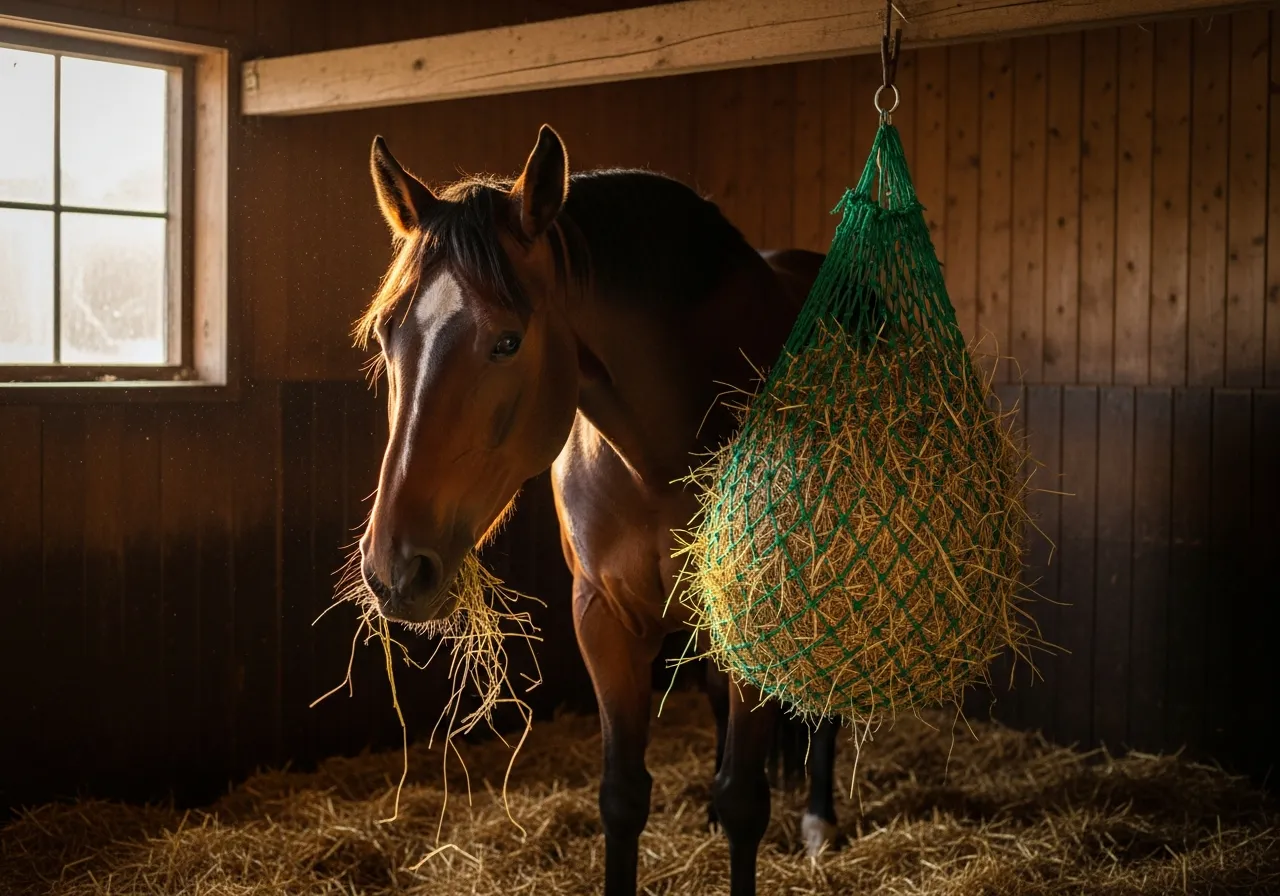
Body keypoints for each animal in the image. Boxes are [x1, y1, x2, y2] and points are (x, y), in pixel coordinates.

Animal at [355, 123, 841, 896]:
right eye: (384, 335)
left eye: (506, 341)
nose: (395, 570)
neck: (662, 456)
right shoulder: (605, 617)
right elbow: (623, 798)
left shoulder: (754, 616)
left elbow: (746, 801)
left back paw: (822, 818)